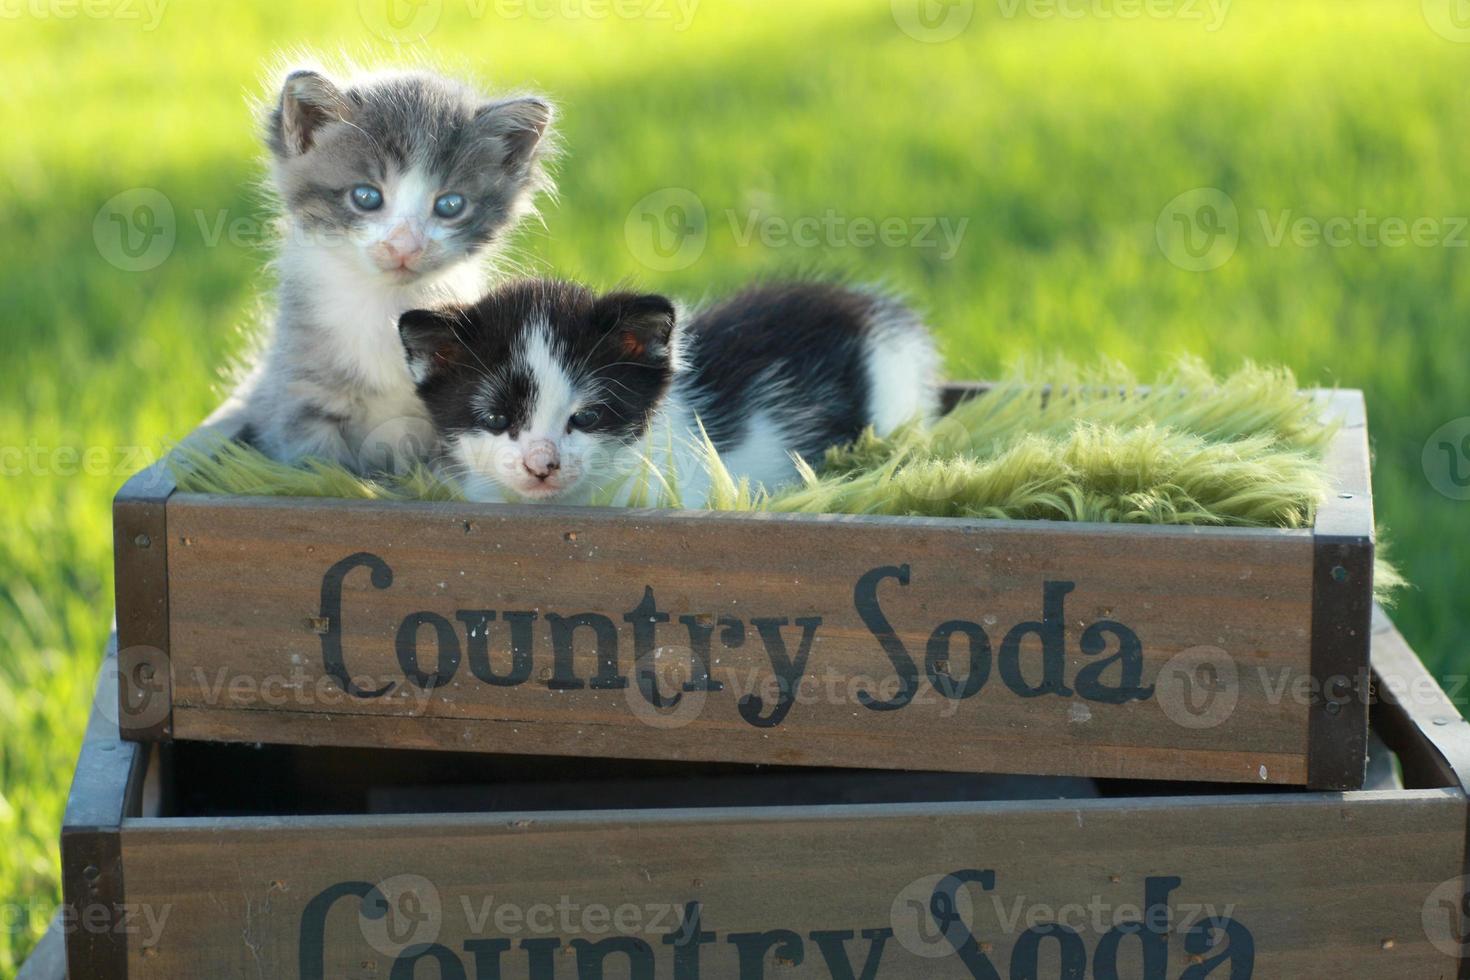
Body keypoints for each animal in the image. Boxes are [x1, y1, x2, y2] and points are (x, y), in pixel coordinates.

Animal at [244, 67, 552, 473]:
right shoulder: (301, 392)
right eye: (366, 197)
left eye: (450, 205)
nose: (405, 246)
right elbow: (322, 469)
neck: (383, 307)